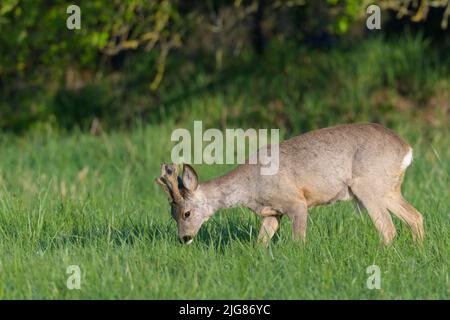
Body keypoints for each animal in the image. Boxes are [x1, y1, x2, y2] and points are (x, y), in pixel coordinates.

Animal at [156, 122, 424, 245]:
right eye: (172, 214)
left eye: (187, 213)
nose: (184, 238)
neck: (250, 187)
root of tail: (407, 149)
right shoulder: (272, 212)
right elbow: (260, 243)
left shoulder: (296, 202)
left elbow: (298, 240)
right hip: (388, 189)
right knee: (416, 217)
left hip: (367, 186)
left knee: (388, 228)